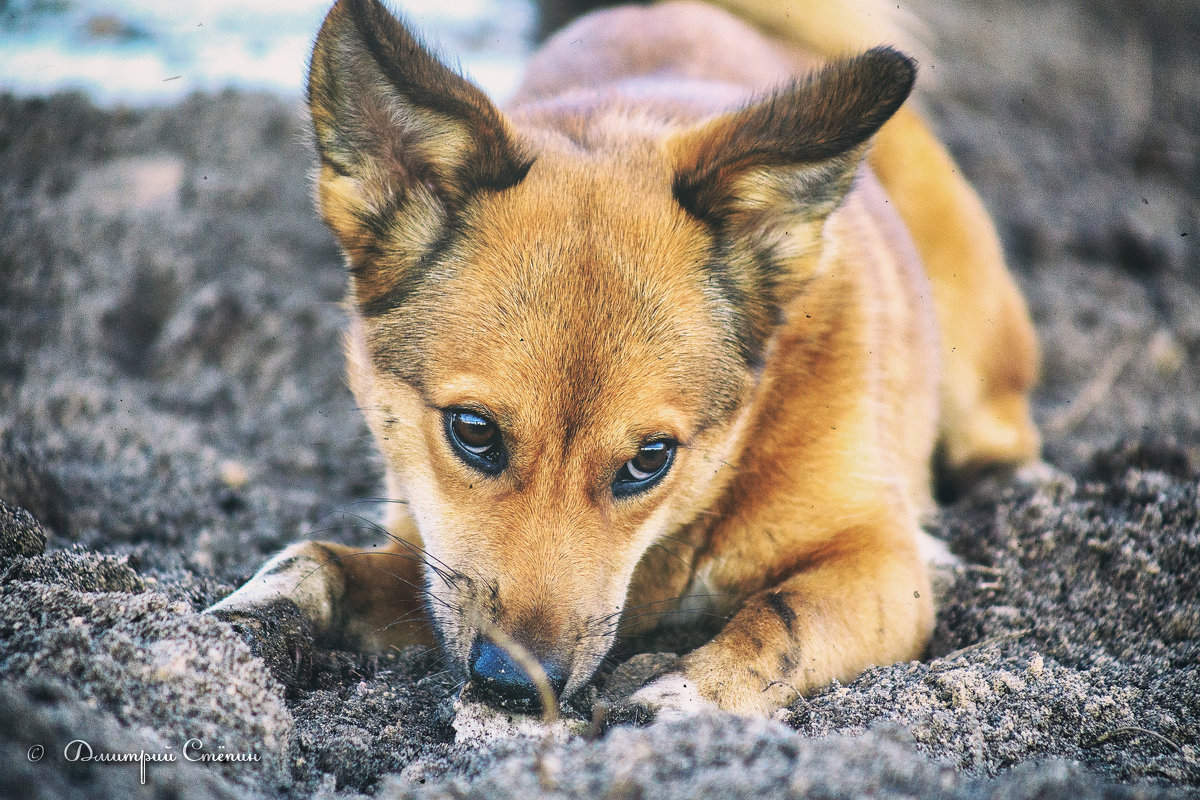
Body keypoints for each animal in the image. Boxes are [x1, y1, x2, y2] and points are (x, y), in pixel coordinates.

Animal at [206, 0, 1041, 719]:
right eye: (473, 432)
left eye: (649, 459)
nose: (516, 685)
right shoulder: (432, 557)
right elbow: (320, 562)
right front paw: (258, 613)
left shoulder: (882, 568)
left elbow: (782, 619)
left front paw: (688, 697)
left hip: (972, 331)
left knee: (1001, 432)